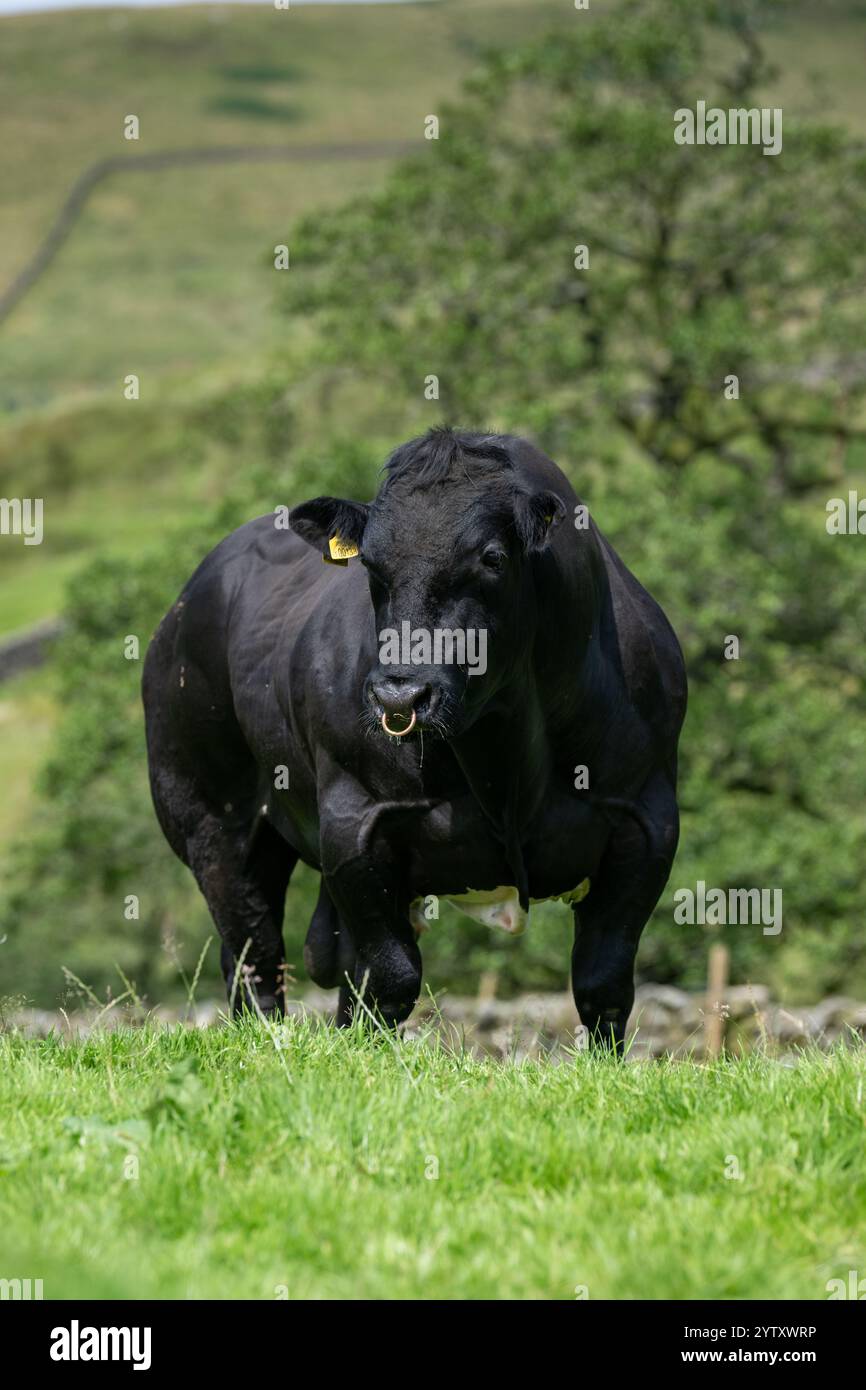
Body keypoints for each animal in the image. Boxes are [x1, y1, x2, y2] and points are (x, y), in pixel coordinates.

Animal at [142, 428, 686, 1045]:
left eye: (492, 558)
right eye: (371, 566)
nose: (398, 697)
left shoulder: (646, 820)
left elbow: (604, 983)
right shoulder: (356, 822)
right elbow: (390, 976)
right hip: (209, 816)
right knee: (254, 954)